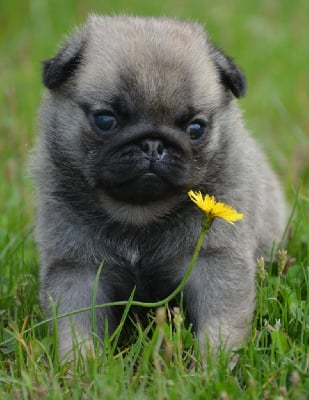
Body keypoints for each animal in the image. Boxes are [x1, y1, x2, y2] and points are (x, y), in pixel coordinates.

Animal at [31, 14, 286, 360]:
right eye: (106, 120)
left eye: (195, 129)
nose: (153, 144)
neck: (139, 214)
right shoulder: (78, 270)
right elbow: (76, 328)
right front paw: (81, 364)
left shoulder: (215, 262)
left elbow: (220, 324)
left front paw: (212, 363)